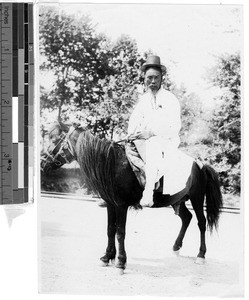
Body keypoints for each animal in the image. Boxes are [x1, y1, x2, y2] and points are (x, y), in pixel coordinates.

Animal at [41, 123, 224, 274]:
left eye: (54, 139)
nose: (42, 162)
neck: (112, 163)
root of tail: (200, 165)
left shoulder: (121, 205)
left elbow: (120, 232)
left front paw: (121, 263)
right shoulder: (111, 204)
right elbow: (110, 230)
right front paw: (107, 257)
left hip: (197, 197)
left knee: (201, 222)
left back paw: (201, 255)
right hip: (177, 200)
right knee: (187, 218)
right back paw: (176, 246)